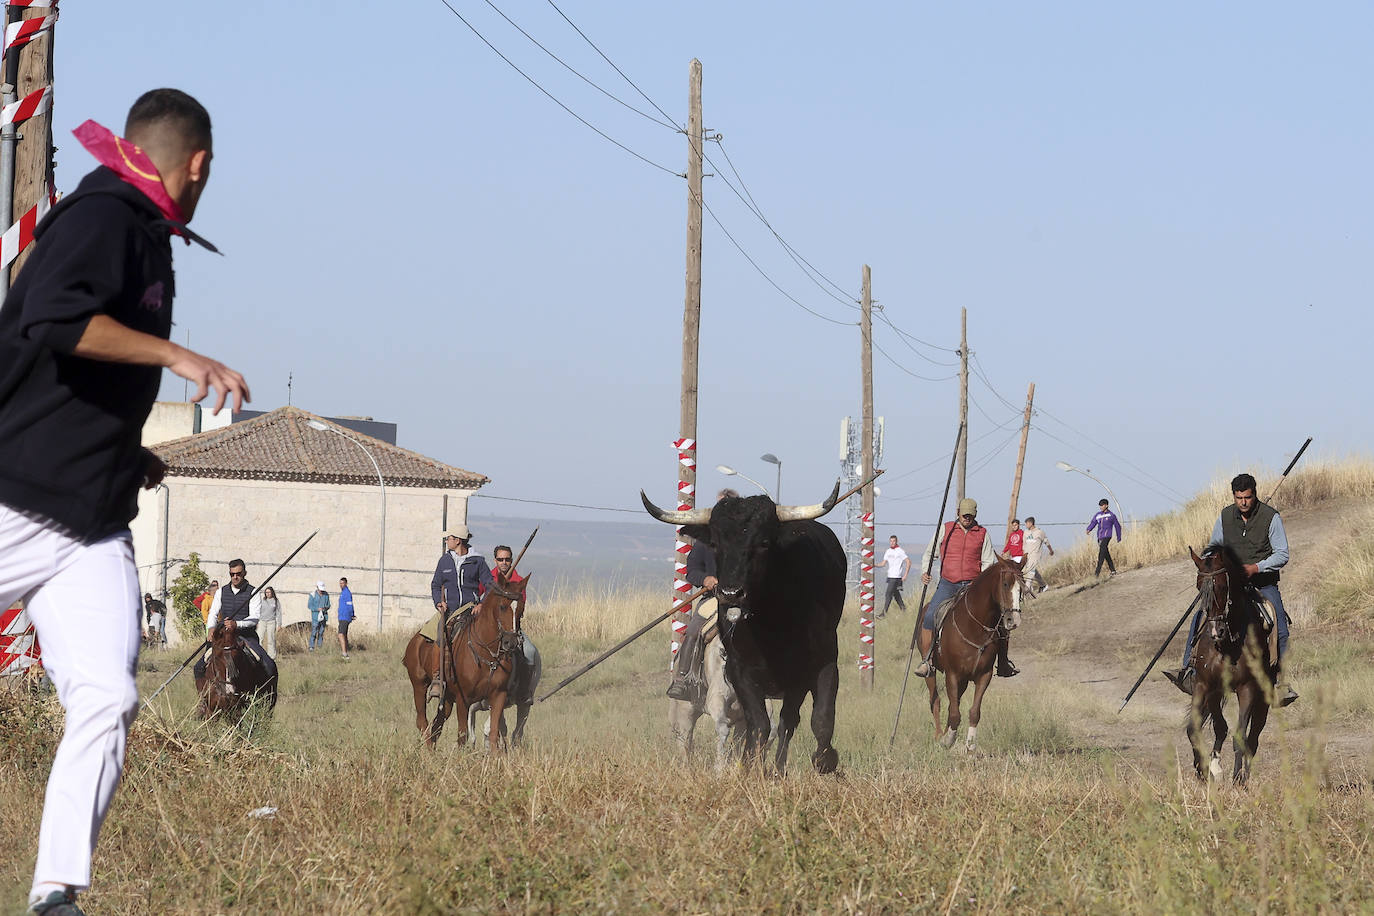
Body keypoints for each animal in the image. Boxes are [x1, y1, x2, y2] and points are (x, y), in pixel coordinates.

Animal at [401, 576, 527, 747]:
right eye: (502, 606)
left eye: (521, 609)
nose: (511, 642)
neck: (485, 653)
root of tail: (415, 640)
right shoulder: (463, 699)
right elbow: (462, 735)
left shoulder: (498, 696)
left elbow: (494, 733)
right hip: (419, 685)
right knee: (422, 721)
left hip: (447, 699)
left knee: (436, 726)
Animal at [643, 483, 846, 780]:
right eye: (715, 543)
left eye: (763, 543)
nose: (730, 593)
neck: (772, 627)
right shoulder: (741, 672)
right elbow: (758, 725)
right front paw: (750, 766)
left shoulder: (824, 663)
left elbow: (821, 717)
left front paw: (825, 760)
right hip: (687, 708)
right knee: (688, 739)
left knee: (788, 722)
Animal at [917, 552, 1027, 752]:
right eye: (1005, 584)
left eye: (1021, 588)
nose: (1013, 620)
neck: (974, 626)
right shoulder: (952, 674)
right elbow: (954, 712)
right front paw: (948, 740)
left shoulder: (984, 675)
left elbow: (973, 712)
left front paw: (969, 746)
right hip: (932, 671)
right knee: (935, 700)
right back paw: (939, 735)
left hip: (964, 680)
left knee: (953, 703)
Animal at [1187, 549, 1269, 785]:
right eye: (1199, 587)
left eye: (1224, 586)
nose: (1216, 631)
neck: (1227, 646)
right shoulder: (1205, 685)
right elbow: (1197, 729)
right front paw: (1204, 770)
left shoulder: (1247, 688)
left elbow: (1240, 735)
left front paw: (1236, 778)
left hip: (1264, 697)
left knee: (1254, 736)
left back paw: (1244, 777)